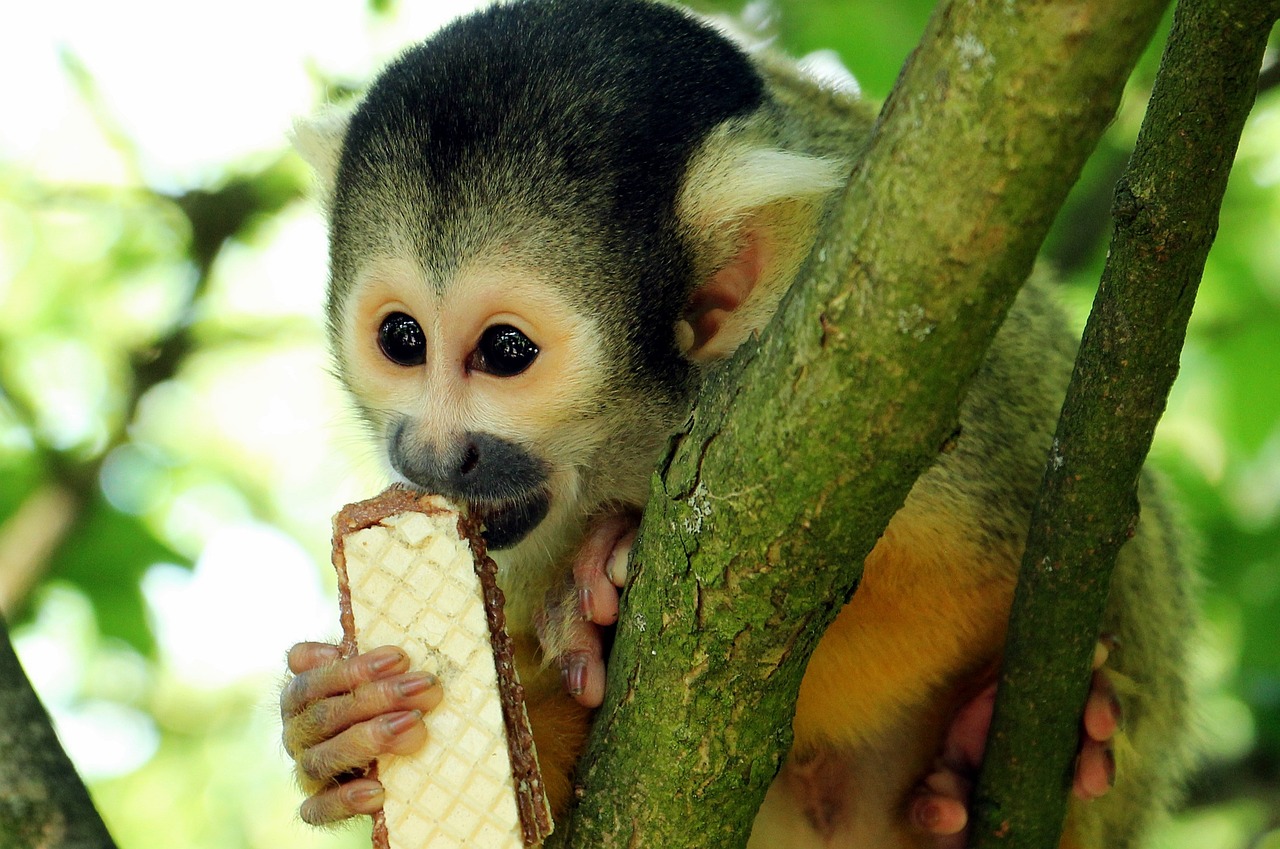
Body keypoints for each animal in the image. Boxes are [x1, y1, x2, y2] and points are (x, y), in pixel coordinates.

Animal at [282, 3, 1198, 845]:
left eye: (506, 351)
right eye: (404, 339)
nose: (432, 453)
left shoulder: (896, 374)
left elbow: (951, 584)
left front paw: (601, 587)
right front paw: (340, 725)